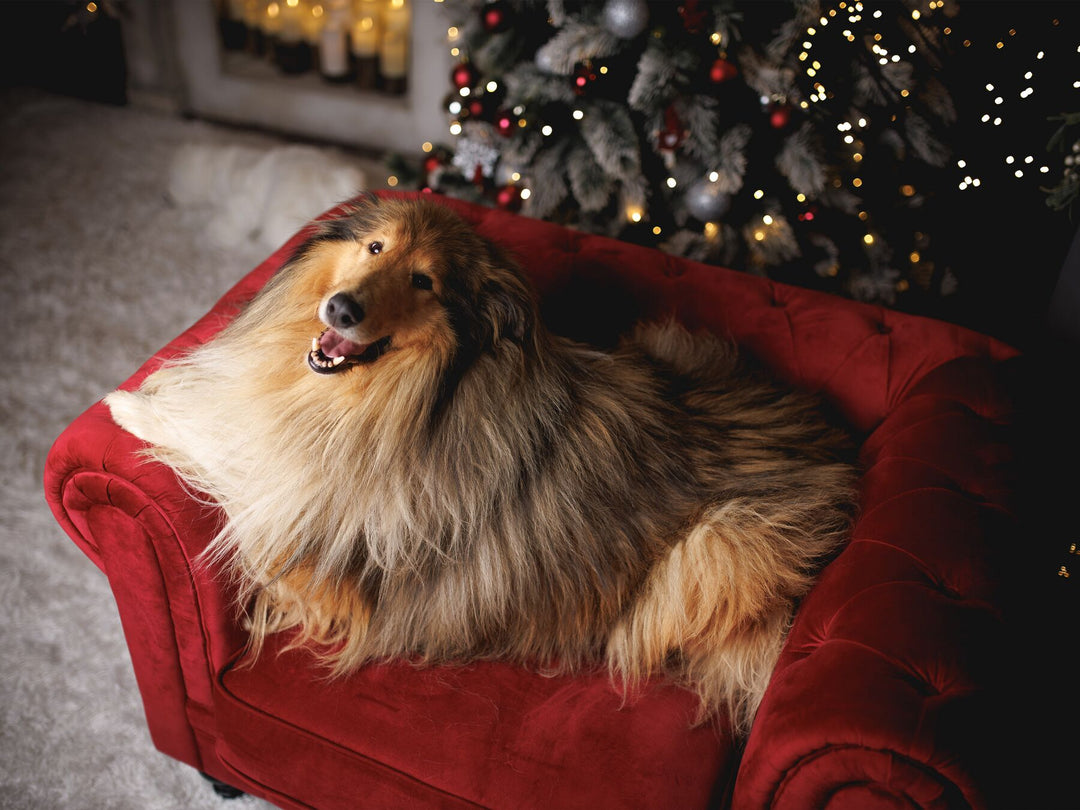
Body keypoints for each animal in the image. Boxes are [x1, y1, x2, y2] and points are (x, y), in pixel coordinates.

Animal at [105, 193, 855, 734]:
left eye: (425, 283)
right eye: (375, 246)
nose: (340, 310)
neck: (400, 402)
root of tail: (840, 456)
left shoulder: (322, 553)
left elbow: (238, 465)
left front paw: (131, 404)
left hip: (718, 547)